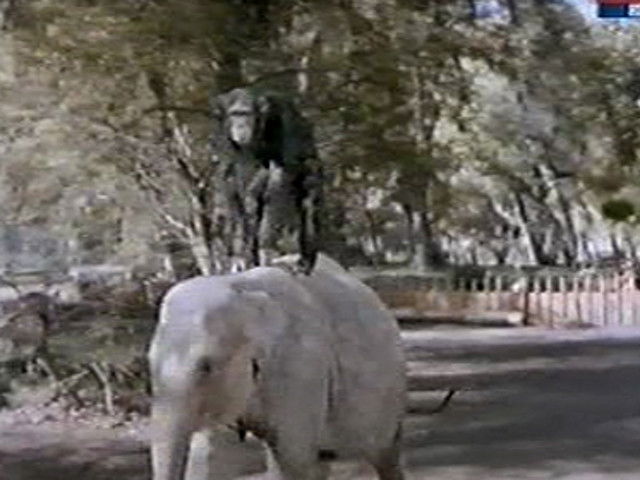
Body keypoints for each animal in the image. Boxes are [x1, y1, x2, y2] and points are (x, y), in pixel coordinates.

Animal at [148, 253, 407, 480]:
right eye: (149, 364)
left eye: (206, 367)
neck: (240, 288)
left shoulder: (302, 365)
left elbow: (291, 458)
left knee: (384, 455)